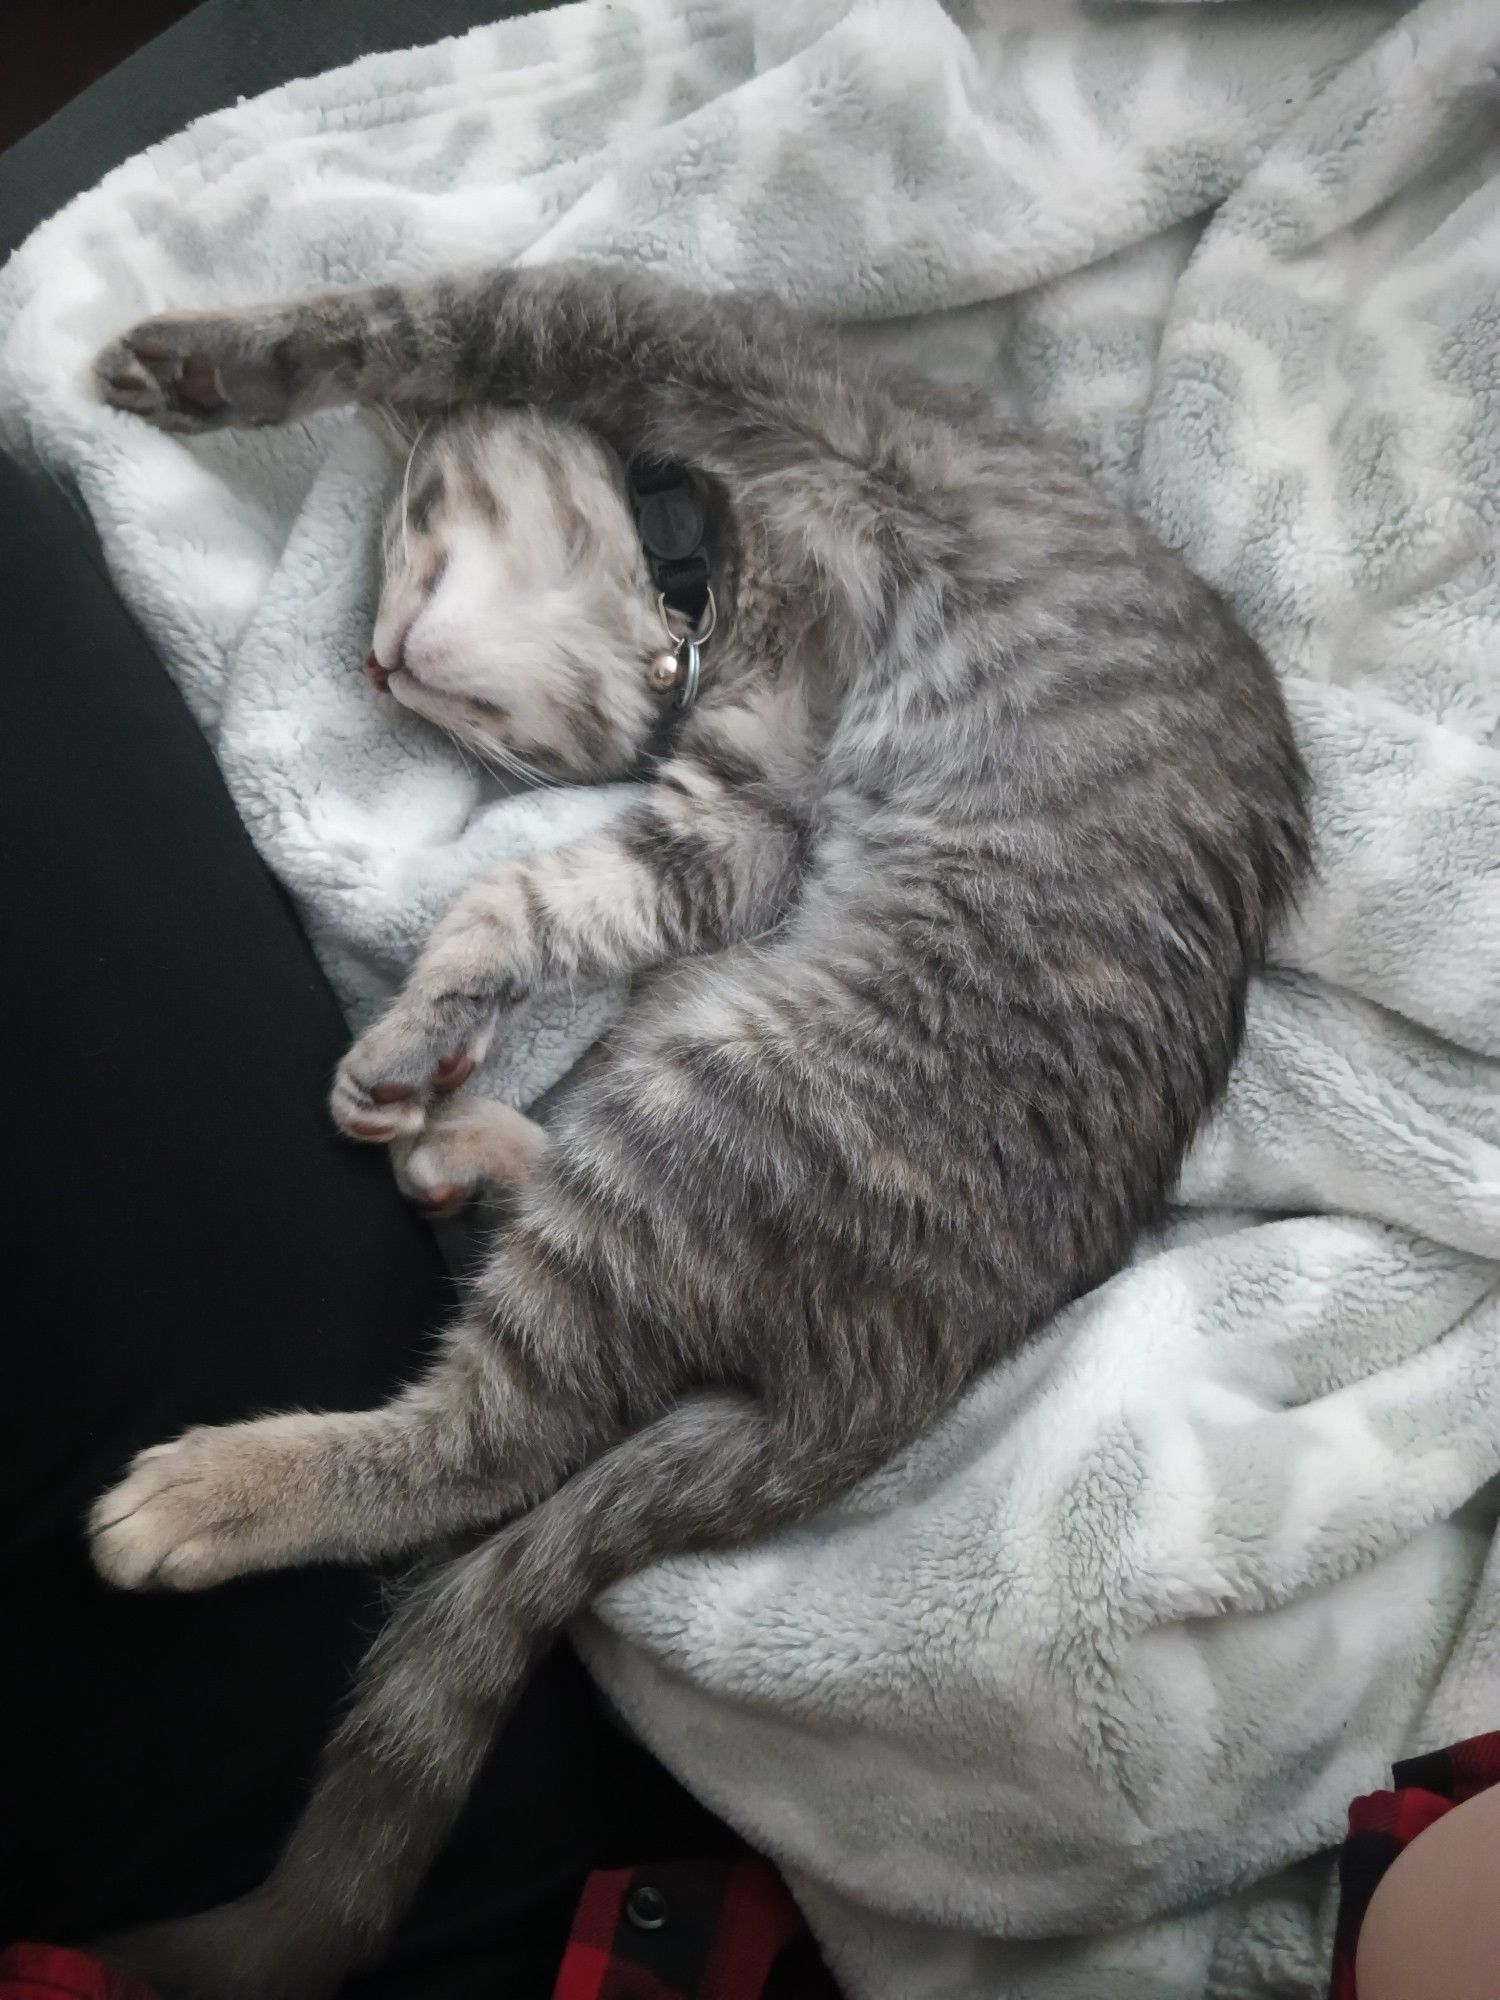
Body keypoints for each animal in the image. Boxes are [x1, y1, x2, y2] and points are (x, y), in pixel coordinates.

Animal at [88, 266, 1312, 2000]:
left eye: (406, 521)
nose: (375, 665)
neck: (715, 570)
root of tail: (911, 1369)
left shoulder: (701, 358)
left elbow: (440, 309)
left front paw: (204, 361)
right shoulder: (732, 836)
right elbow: (537, 898)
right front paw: (425, 1028)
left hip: (706, 1112)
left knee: (482, 1447)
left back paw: (217, 1493)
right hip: (697, 1037)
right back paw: (460, 1133)